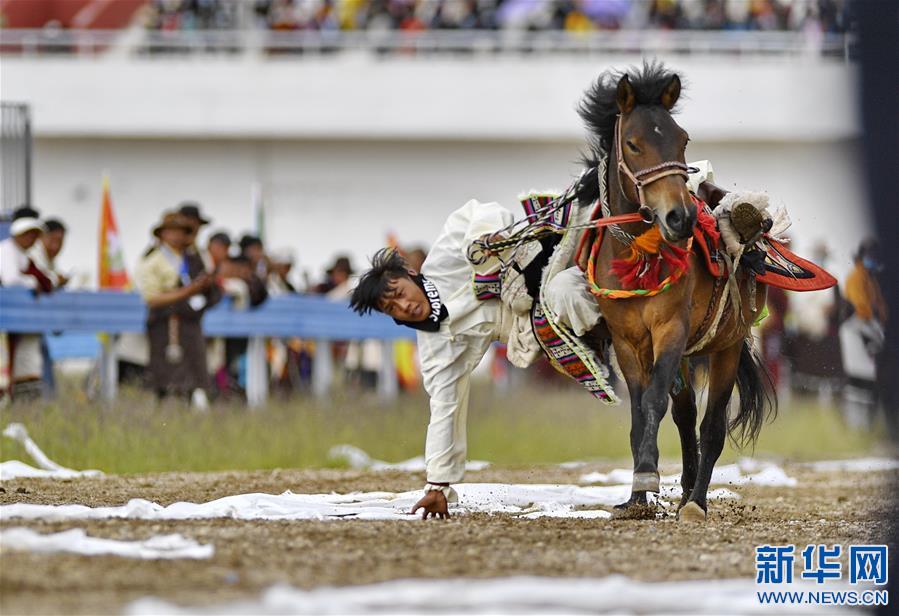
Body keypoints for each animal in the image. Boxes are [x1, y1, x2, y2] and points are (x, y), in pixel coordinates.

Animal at [580, 63, 776, 520]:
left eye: (682, 139)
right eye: (632, 144)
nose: (680, 218)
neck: (638, 257)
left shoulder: (670, 329)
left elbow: (655, 403)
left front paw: (648, 476)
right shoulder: (628, 342)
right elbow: (640, 412)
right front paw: (636, 498)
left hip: (727, 345)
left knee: (712, 425)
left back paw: (696, 502)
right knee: (687, 418)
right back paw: (686, 491)